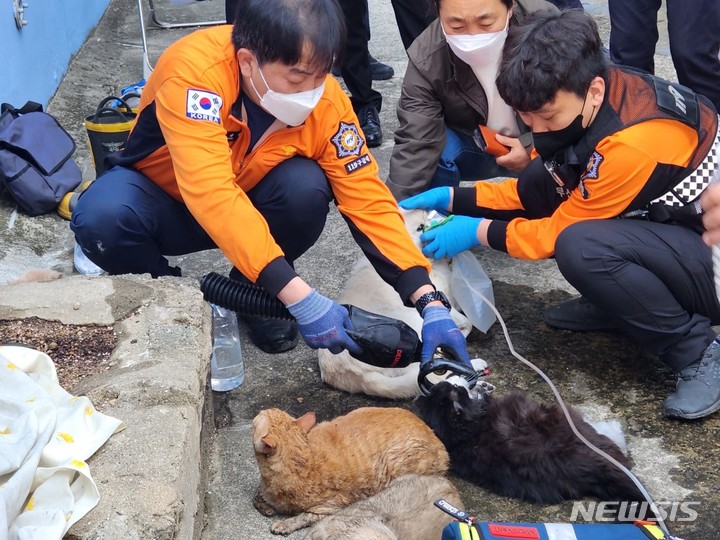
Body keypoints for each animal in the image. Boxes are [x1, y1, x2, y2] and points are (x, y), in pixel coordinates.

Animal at [250, 408, 448, 532]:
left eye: (258, 418)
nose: (259, 411)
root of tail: (438, 441)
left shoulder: (330, 506)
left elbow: (305, 516)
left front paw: (284, 524)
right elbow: (258, 495)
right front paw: (265, 504)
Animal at [318, 209, 486, 398]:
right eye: (420, 227)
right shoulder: (441, 304)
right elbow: (466, 323)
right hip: (413, 327)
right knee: (432, 374)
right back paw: (473, 371)